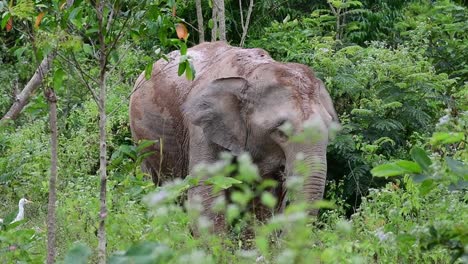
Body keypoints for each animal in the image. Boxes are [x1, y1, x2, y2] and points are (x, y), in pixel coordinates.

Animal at [130, 41, 338, 231]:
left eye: (329, 130)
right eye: (281, 132)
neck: (251, 73)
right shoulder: (201, 129)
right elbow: (205, 193)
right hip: (142, 140)